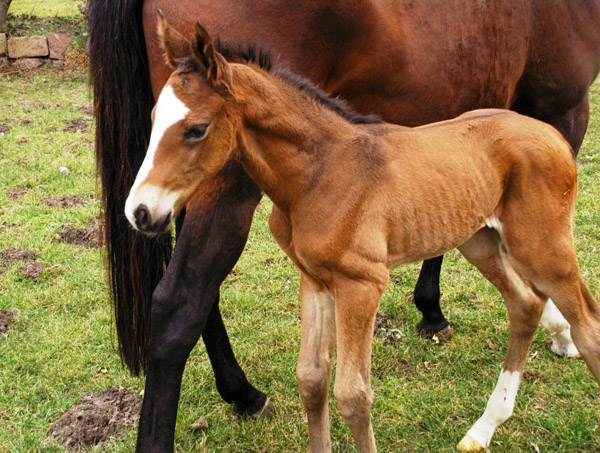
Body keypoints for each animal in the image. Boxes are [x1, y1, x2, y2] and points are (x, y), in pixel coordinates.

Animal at [86, 1, 596, 450]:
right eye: (154, 118)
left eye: (196, 128)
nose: (140, 211)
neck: (322, 170)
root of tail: (551, 137)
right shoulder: (315, 278)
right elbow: (312, 380)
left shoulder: (362, 283)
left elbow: (352, 395)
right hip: (482, 241)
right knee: (526, 304)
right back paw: (482, 429)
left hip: (539, 245)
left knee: (582, 322)